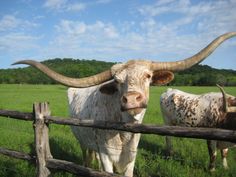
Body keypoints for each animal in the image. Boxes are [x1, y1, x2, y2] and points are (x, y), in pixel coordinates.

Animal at [14, 31, 236, 176]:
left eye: (148, 76)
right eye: (118, 81)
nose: (131, 99)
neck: (123, 133)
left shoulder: (131, 157)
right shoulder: (106, 155)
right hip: (84, 141)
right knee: (87, 155)